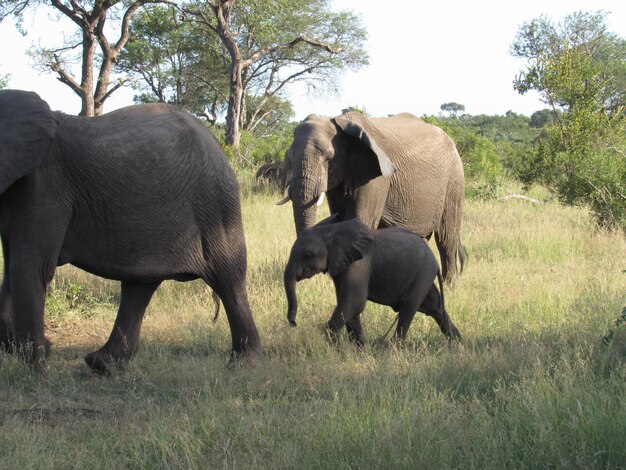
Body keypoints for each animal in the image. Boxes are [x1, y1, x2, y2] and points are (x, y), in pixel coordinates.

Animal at [0, 90, 260, 372]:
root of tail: (215, 142)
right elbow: (12, 263)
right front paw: (21, 350)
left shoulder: (46, 184)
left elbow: (30, 266)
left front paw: (35, 366)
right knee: (141, 284)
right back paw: (103, 365)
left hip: (216, 202)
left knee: (227, 277)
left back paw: (243, 363)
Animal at [276, 111, 464, 282]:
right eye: (289, 159)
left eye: (329, 158)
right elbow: (339, 220)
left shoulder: (376, 178)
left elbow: (359, 219)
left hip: (454, 181)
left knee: (447, 238)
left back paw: (450, 285)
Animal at [282, 219, 458, 346]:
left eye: (308, 254)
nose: (293, 323)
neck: (332, 230)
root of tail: (434, 260)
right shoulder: (342, 264)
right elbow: (349, 306)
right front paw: (358, 350)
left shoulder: (358, 264)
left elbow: (354, 302)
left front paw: (332, 347)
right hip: (424, 276)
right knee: (436, 308)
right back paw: (458, 345)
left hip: (423, 274)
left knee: (409, 309)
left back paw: (393, 350)